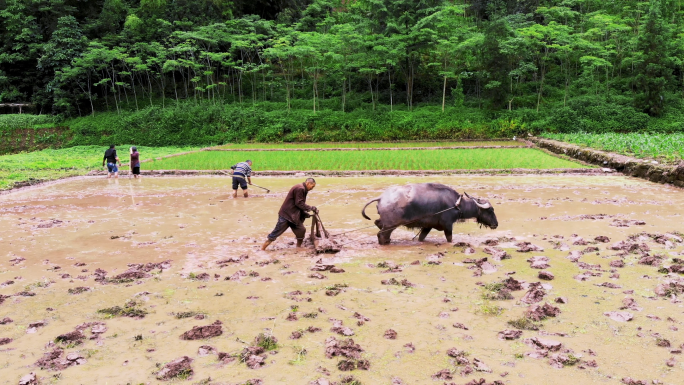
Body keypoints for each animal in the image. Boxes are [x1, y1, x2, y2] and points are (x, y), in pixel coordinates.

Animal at [358, 182, 496, 243]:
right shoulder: (448, 225)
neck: (456, 205)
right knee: (381, 234)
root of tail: (381, 198)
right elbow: (449, 239)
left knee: (377, 223)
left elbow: (421, 238)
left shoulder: (427, 226)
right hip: (390, 225)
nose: (496, 224)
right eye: (490, 210)